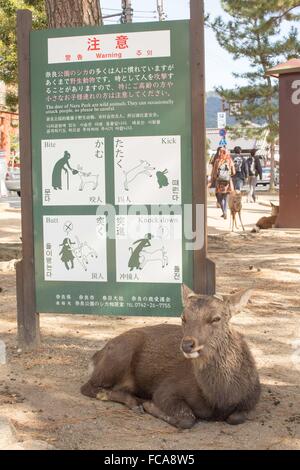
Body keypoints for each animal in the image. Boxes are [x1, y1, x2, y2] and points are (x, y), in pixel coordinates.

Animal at [81, 284, 260, 428]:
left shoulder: (252, 400)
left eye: (216, 318)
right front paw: (149, 405)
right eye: (183, 317)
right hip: (120, 354)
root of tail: (96, 356)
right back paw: (135, 402)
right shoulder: (167, 389)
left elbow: (236, 418)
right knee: (87, 386)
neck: (220, 398)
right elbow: (187, 419)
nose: (187, 344)